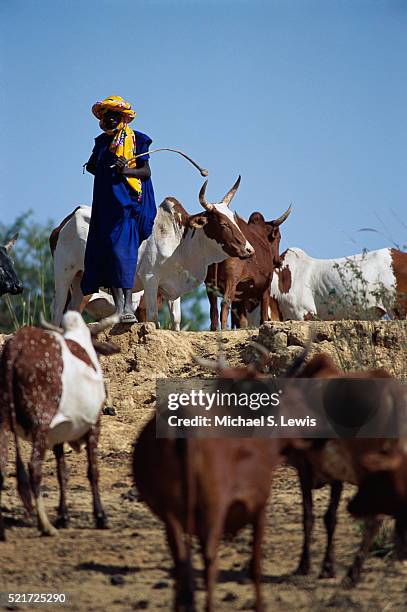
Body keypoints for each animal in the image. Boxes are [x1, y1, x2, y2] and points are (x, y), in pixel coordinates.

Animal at [0, 314, 118, 536]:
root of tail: (17, 346)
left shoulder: (58, 435)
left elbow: (62, 472)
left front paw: (64, 516)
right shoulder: (94, 426)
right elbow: (93, 471)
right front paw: (101, 516)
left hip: (4, 422)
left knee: (2, 465)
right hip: (41, 422)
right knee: (34, 466)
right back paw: (45, 525)